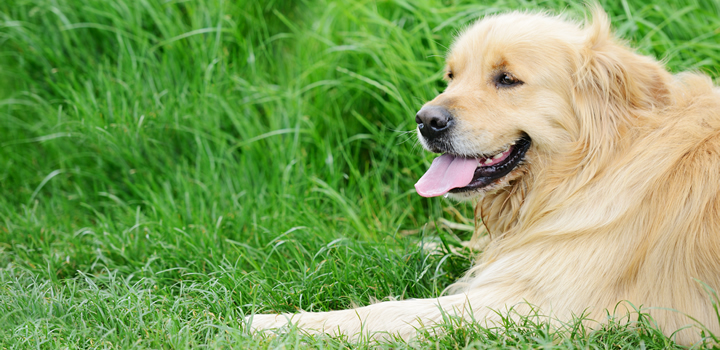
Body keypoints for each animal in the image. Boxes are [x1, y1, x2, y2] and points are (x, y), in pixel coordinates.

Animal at [248, 6, 720, 344]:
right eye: (451, 76)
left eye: (507, 79)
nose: (426, 121)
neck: (592, 167)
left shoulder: (543, 306)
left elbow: (384, 311)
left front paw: (273, 323)